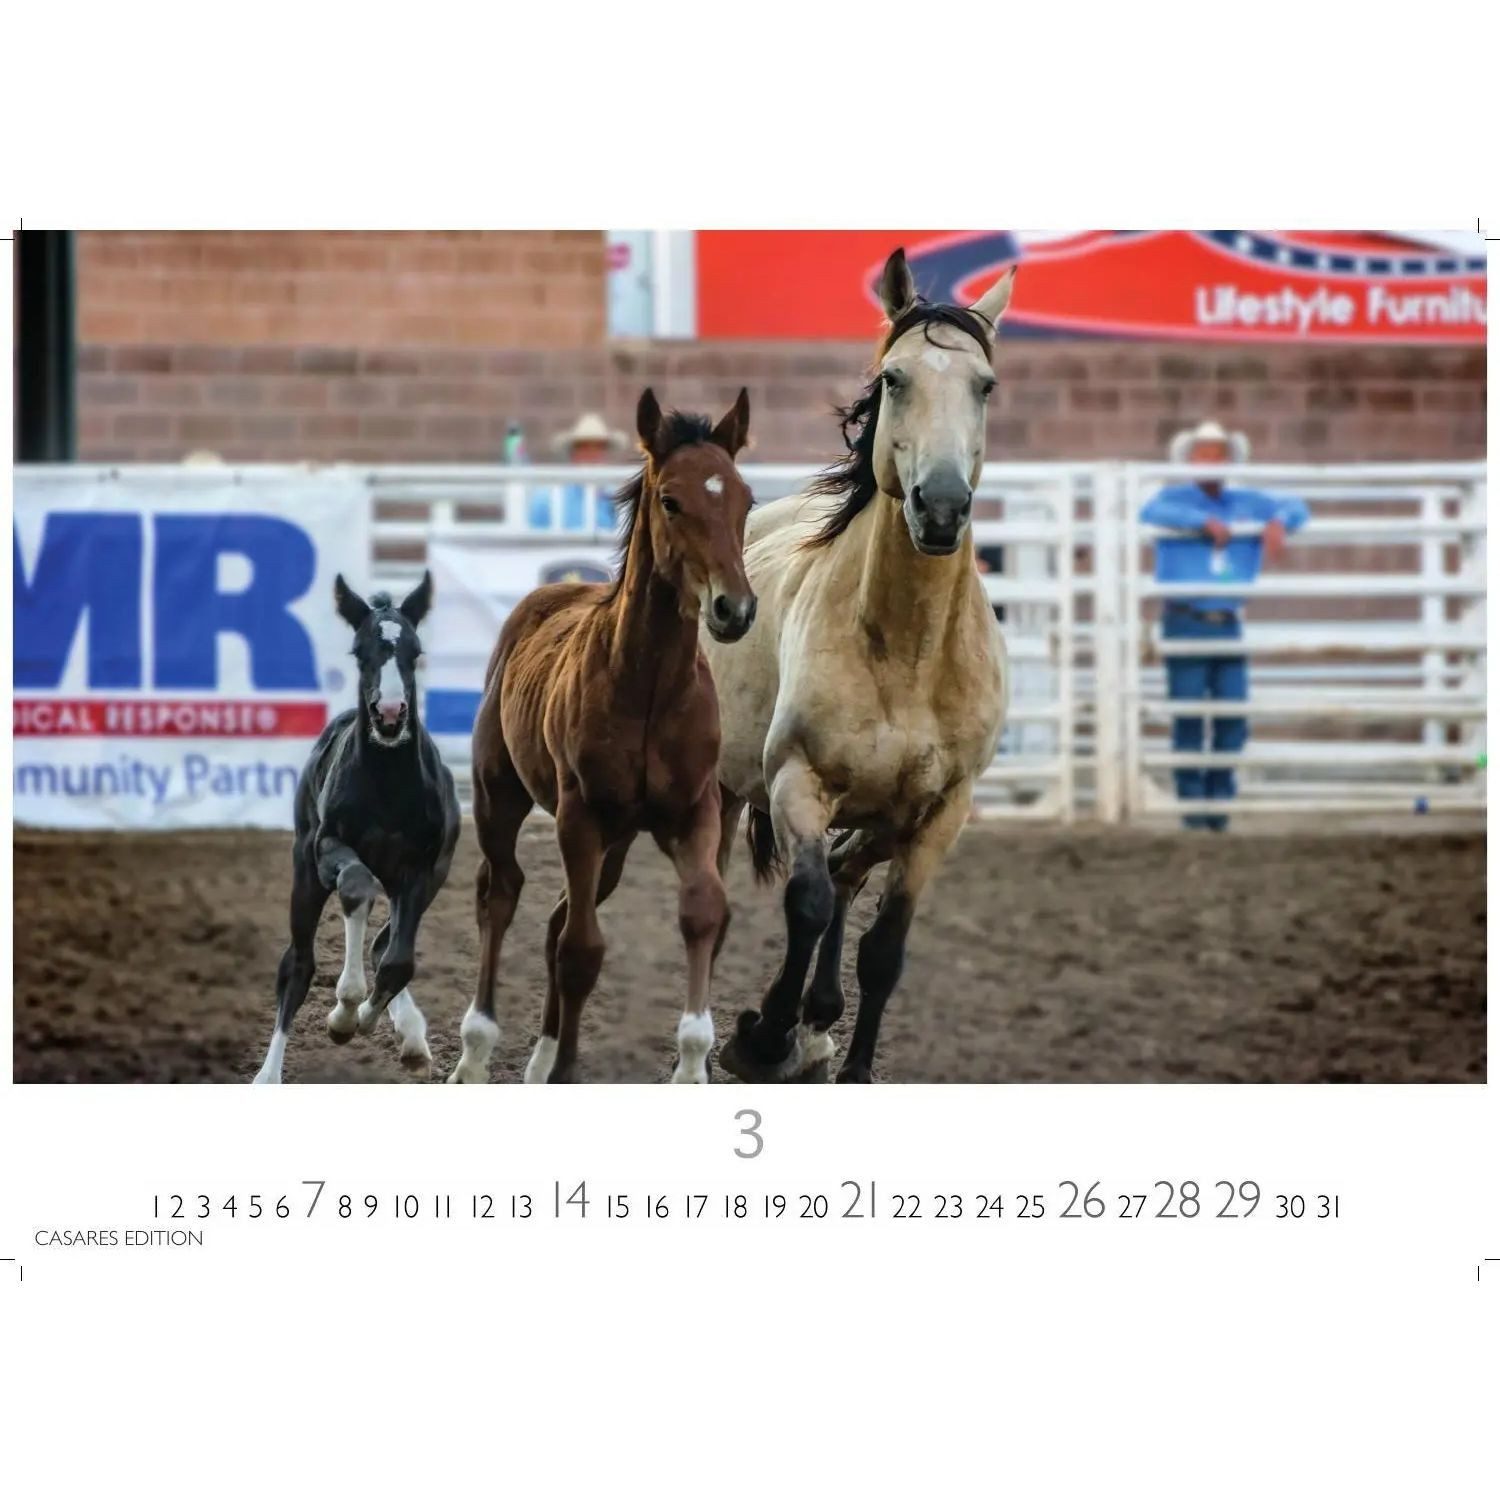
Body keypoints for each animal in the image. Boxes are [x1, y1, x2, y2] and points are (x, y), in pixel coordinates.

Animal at [253, 572, 460, 1084]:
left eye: (415, 651)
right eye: (359, 651)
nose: (389, 714)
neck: (387, 785)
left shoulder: (421, 869)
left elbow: (398, 961)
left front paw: (372, 1021)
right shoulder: (329, 847)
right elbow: (355, 887)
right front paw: (343, 1013)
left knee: (386, 945)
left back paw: (411, 1036)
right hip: (304, 871)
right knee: (298, 964)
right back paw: (268, 1074)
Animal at [447, 387, 756, 1084]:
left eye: (746, 500)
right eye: (671, 500)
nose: (735, 608)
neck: (648, 688)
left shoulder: (693, 812)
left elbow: (704, 910)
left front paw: (692, 1062)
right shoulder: (579, 815)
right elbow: (581, 949)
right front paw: (561, 1070)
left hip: (615, 842)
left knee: (557, 914)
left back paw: (538, 1058)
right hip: (500, 796)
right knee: (501, 893)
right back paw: (476, 1050)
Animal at [702, 247, 1014, 1083]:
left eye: (985, 385)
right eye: (894, 379)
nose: (941, 505)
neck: (907, 650)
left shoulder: (940, 815)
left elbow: (884, 950)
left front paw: (848, 1059)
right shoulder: (797, 781)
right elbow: (805, 904)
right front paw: (760, 1037)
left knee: (848, 874)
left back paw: (817, 1022)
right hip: (723, 789)